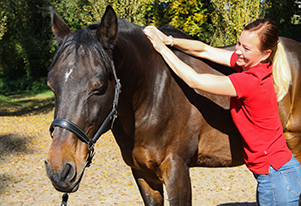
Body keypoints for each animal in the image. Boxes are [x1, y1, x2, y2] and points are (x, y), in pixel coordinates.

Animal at [45, 5, 300, 205]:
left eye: (98, 86)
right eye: (51, 85)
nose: (59, 171)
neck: (151, 94)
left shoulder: (177, 171)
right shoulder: (142, 174)